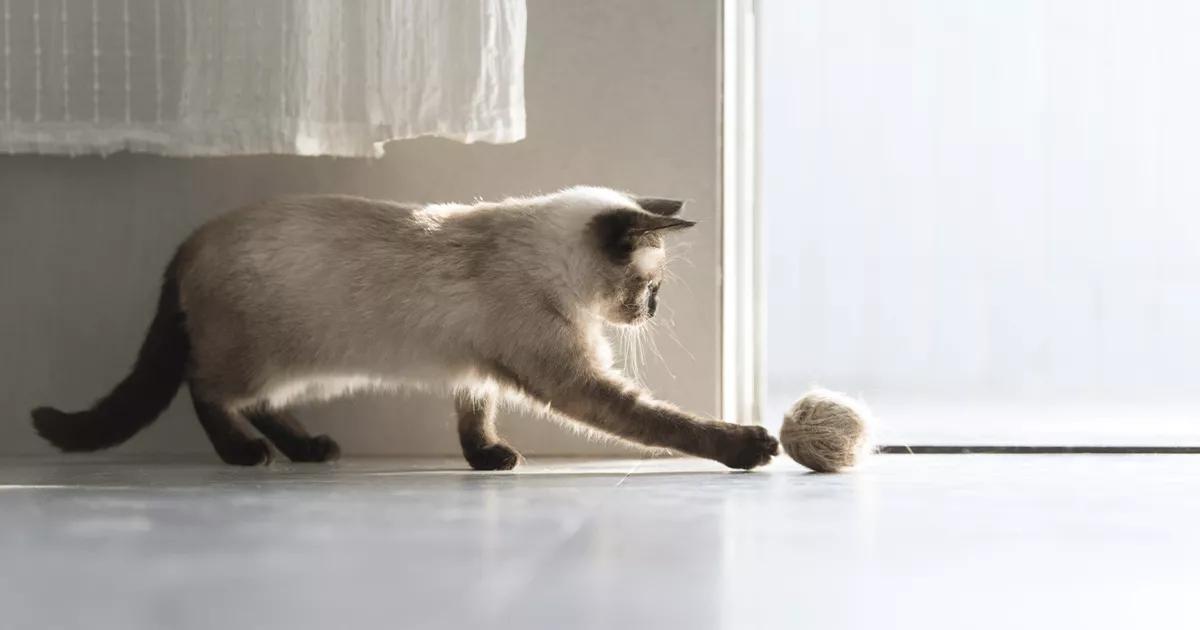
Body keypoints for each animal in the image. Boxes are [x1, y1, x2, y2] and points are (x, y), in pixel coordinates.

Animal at [32, 187, 777, 465]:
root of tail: (190, 241)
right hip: (265, 358)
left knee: (260, 403)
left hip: (299, 370)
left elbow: (474, 418)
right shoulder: (571, 377)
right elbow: (665, 423)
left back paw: (309, 450)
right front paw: (747, 445)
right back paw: (248, 456)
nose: (650, 312)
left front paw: (489, 461)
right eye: (653, 288)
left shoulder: (479, 369)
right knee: (206, 389)